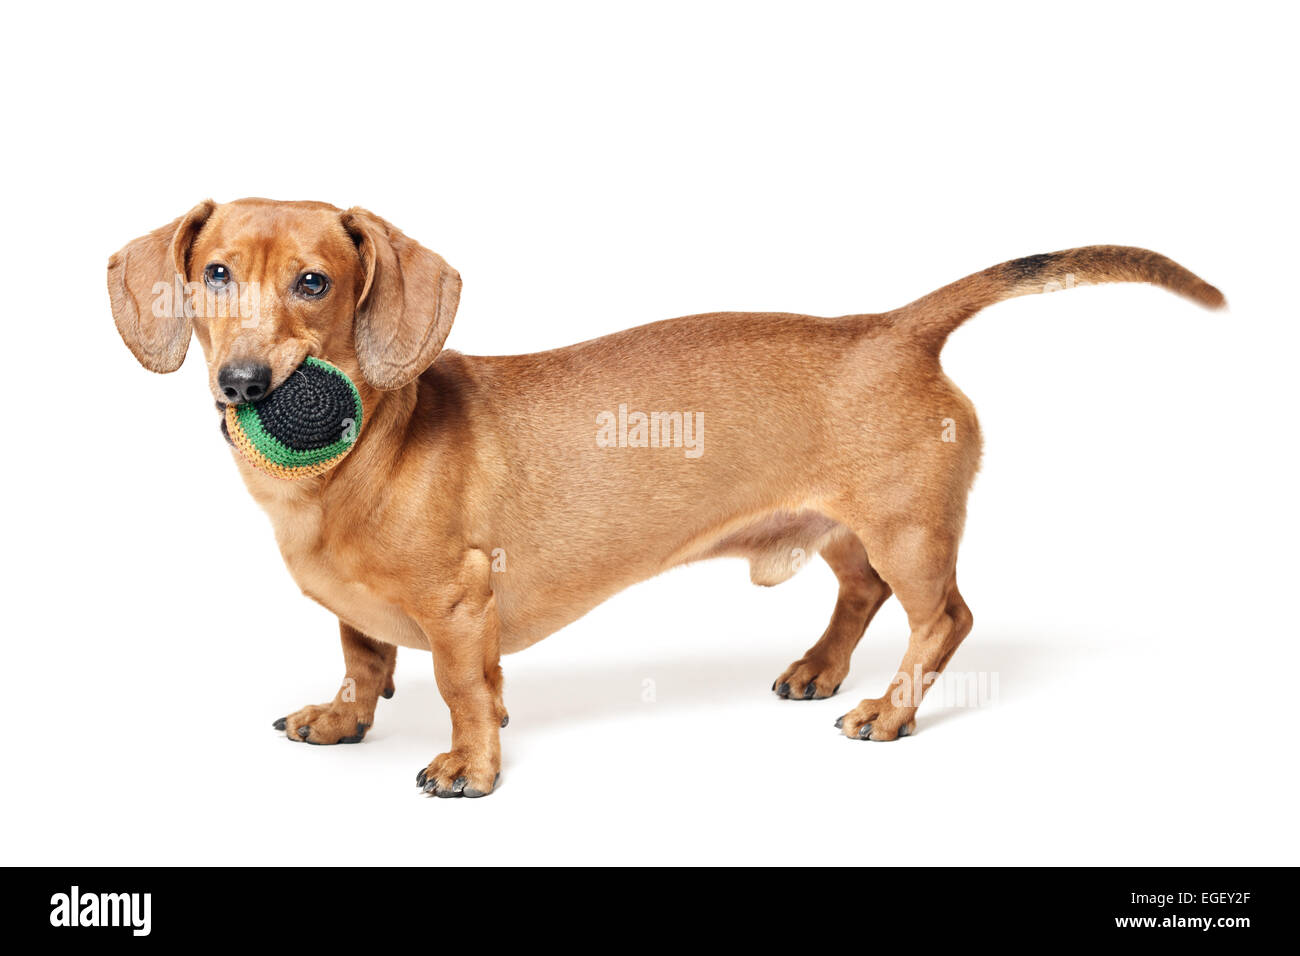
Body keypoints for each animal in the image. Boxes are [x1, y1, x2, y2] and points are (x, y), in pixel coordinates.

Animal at [106, 200, 1222, 801]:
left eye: (315, 282)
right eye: (214, 272)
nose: (243, 384)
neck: (365, 451)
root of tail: (888, 328)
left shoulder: (461, 602)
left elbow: (465, 687)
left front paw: (470, 762)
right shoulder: (359, 613)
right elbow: (363, 655)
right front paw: (342, 715)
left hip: (910, 533)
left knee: (944, 617)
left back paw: (886, 710)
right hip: (841, 531)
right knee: (859, 594)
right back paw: (818, 668)